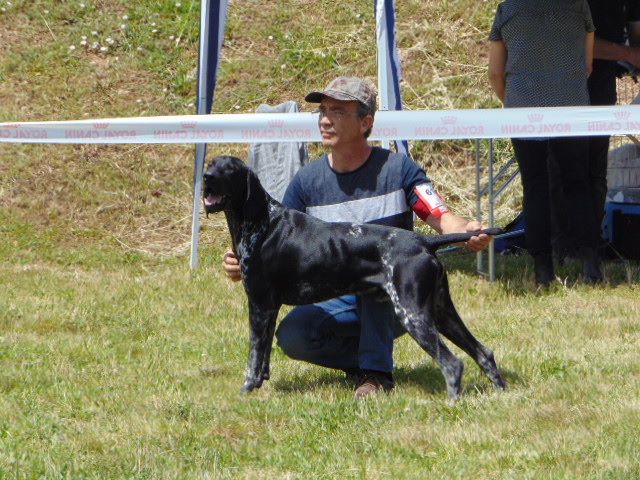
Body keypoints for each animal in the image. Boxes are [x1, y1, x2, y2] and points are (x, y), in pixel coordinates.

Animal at [204, 156, 504, 400]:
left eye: (229, 169)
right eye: (210, 164)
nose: (206, 178)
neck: (262, 222)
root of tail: (424, 241)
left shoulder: (259, 304)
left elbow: (254, 355)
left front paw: (246, 388)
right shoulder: (269, 308)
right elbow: (264, 353)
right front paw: (260, 383)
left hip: (412, 315)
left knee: (453, 364)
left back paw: (452, 401)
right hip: (441, 312)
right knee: (484, 353)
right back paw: (501, 391)